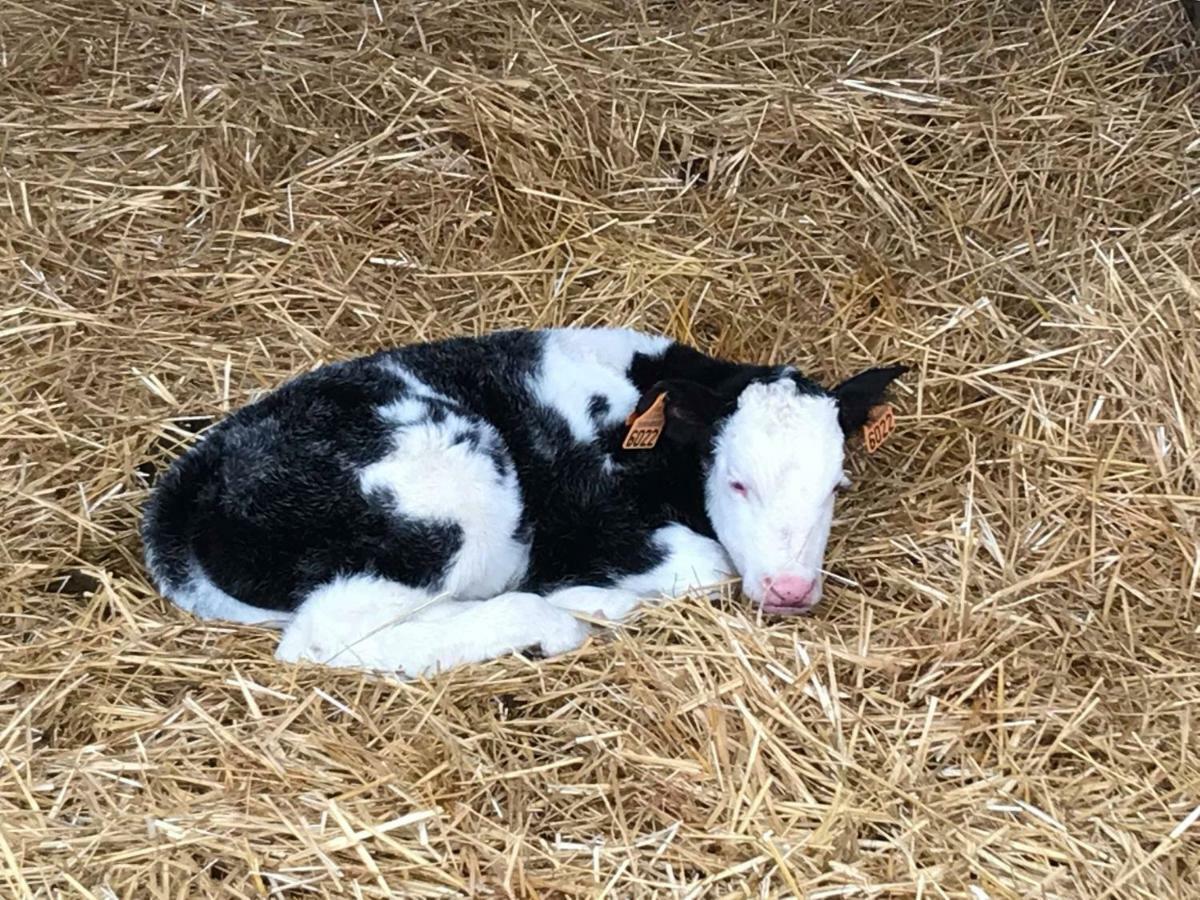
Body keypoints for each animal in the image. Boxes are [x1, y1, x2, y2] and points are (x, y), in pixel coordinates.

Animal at [140, 328, 902, 676]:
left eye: (834, 485)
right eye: (738, 481)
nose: (789, 589)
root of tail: (191, 484)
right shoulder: (589, 518)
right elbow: (705, 565)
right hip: (446, 491)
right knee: (327, 632)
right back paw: (555, 619)